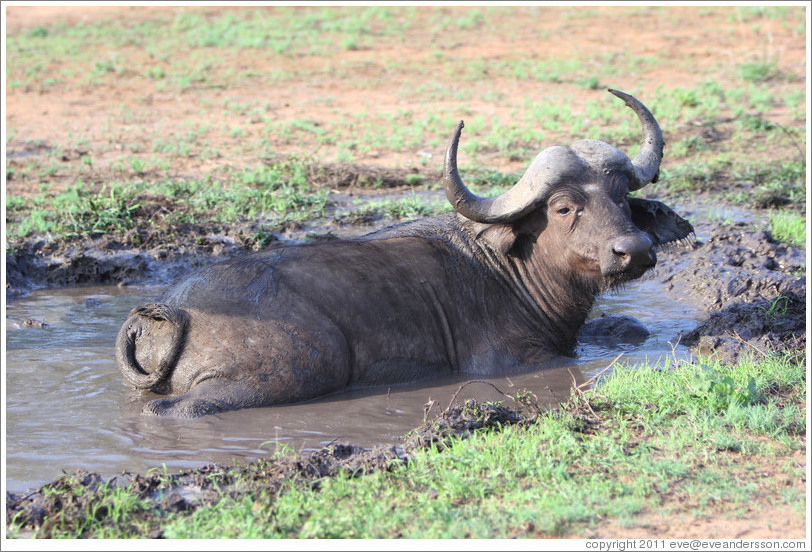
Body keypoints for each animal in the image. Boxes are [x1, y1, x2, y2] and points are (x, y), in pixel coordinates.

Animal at [116, 89, 693, 417]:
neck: (508, 269)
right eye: (564, 207)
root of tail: (170, 309)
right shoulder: (516, 359)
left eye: (621, 197)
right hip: (289, 372)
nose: (634, 250)